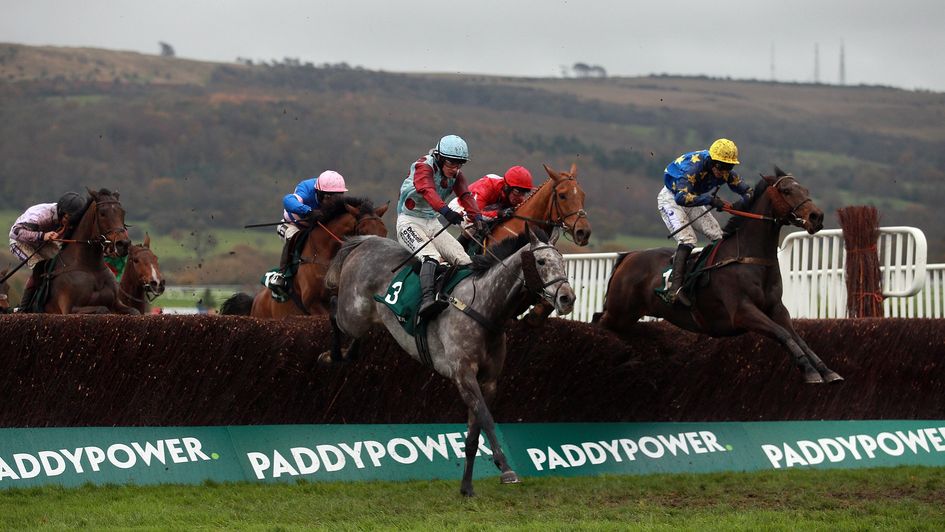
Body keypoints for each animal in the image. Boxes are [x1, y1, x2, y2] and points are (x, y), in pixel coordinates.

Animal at [320, 227, 576, 496]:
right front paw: (506, 469)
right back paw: (331, 354)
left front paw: (467, 487)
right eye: (541, 261)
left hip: (368, 319)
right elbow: (487, 419)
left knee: (356, 336)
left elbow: (474, 433)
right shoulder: (463, 374)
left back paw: (346, 354)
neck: (484, 306)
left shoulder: (488, 381)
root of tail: (366, 241)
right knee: (334, 308)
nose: (567, 298)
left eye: (562, 261)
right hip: (353, 314)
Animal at [592, 168, 844, 384]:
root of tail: (629, 256)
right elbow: (783, 334)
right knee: (598, 320)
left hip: (625, 315)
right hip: (619, 311)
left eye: (806, 190)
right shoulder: (742, 311)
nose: (816, 216)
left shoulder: (777, 308)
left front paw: (826, 371)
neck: (749, 258)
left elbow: (798, 338)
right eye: (787, 191)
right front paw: (809, 370)